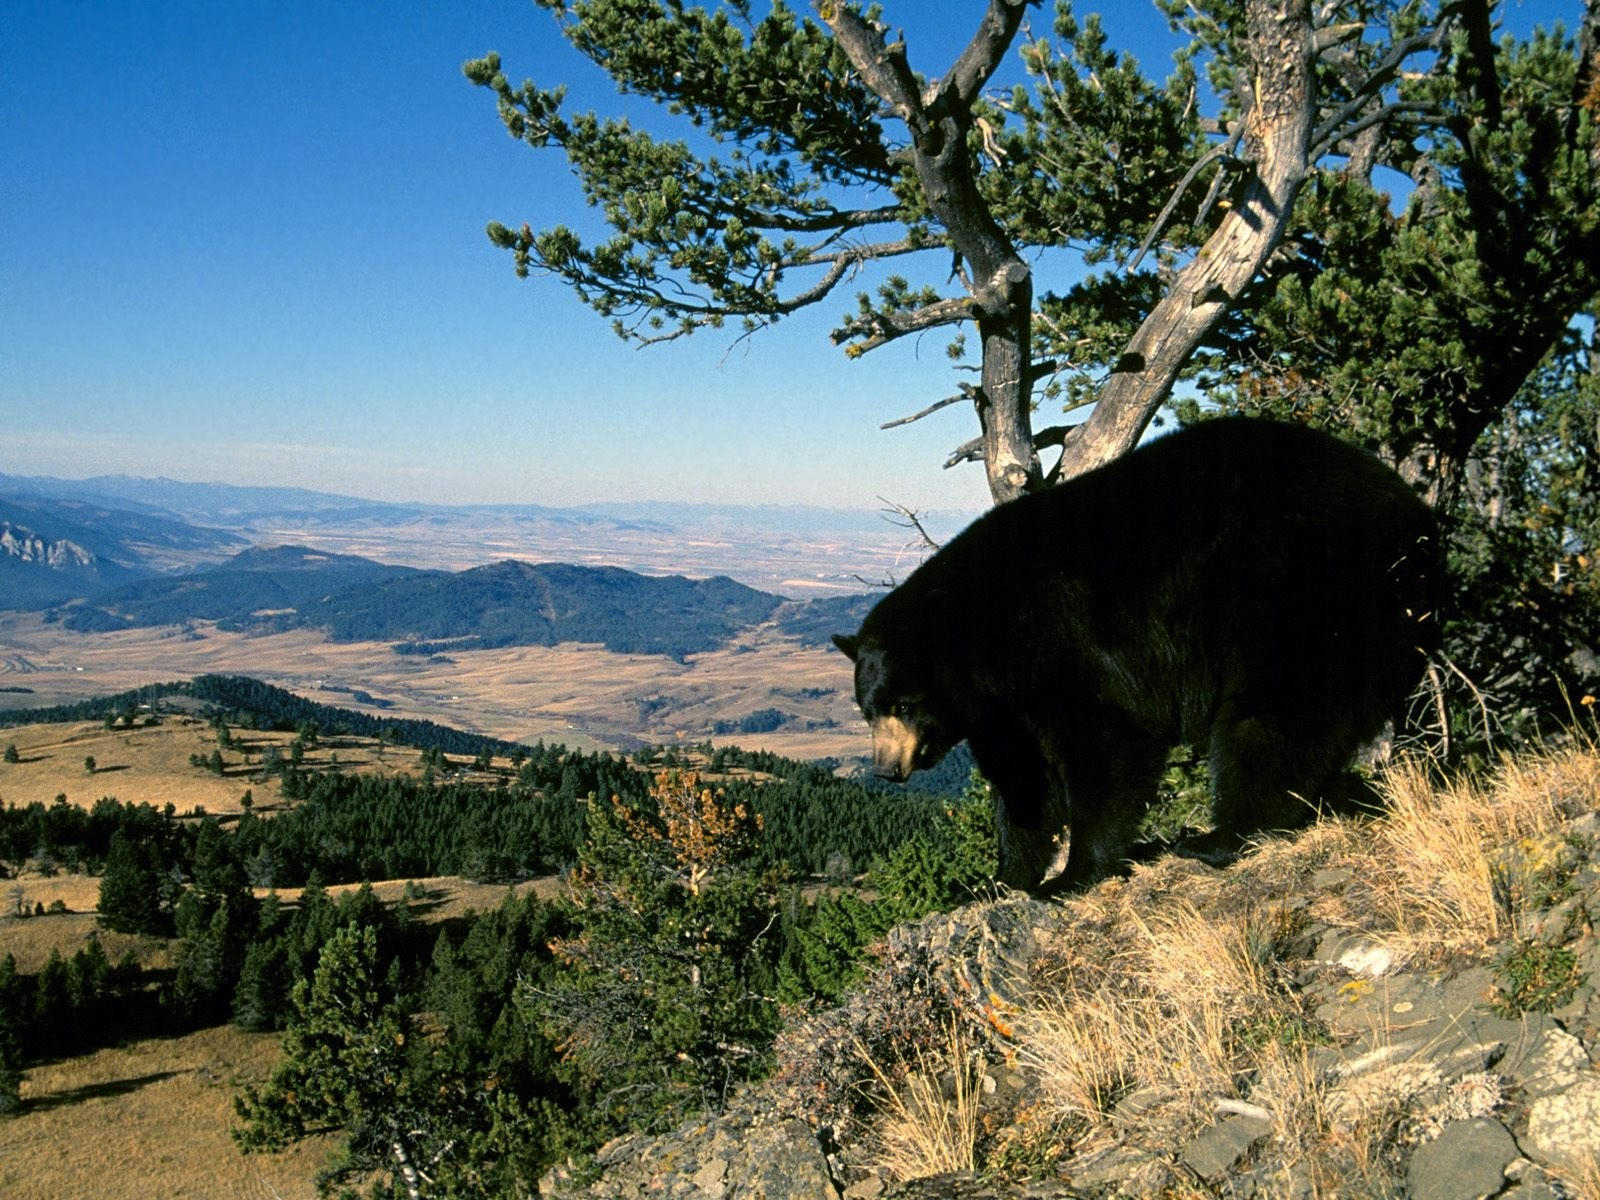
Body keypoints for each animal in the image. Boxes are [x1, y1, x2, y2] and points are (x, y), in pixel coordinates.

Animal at [832, 419, 1446, 896]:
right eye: (867, 710)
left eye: (906, 705)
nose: (885, 769)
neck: (988, 629)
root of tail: (1415, 520)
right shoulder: (1001, 706)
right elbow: (1022, 778)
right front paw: (1000, 880)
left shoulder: (1067, 641)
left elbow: (1105, 745)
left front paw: (1073, 875)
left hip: (1298, 593)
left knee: (1277, 715)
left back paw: (1220, 839)